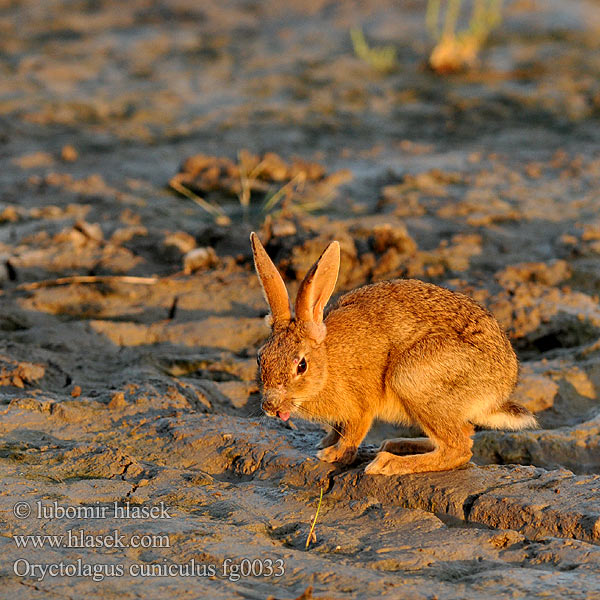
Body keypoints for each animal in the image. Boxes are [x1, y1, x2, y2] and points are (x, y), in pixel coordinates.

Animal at [248, 232, 536, 476]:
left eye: (301, 366)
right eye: (261, 358)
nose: (270, 406)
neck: (328, 364)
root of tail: (499, 391)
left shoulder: (361, 405)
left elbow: (352, 433)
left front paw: (332, 454)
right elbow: (337, 429)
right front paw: (325, 443)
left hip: (411, 378)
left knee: (459, 448)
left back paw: (388, 462)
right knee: (465, 433)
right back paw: (395, 444)